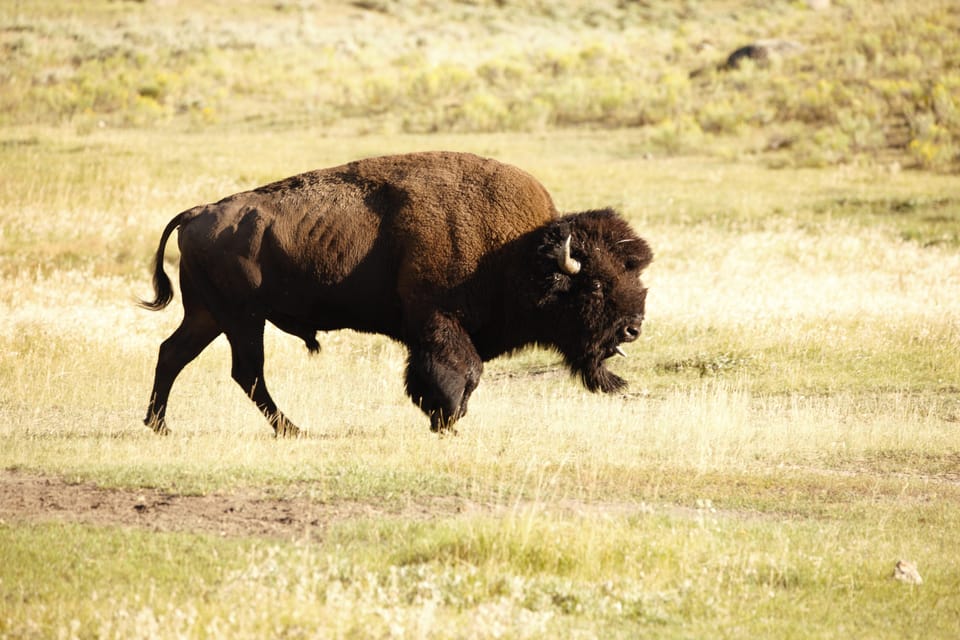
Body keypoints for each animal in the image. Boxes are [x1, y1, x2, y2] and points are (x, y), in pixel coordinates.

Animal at [141, 152, 652, 438]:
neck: (518, 253)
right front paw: (447, 421)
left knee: (174, 354)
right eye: (596, 283)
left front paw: (437, 417)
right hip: (242, 318)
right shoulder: (438, 323)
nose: (633, 328)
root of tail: (197, 212)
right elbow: (463, 373)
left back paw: (159, 426)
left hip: (210, 316)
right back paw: (291, 430)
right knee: (245, 372)